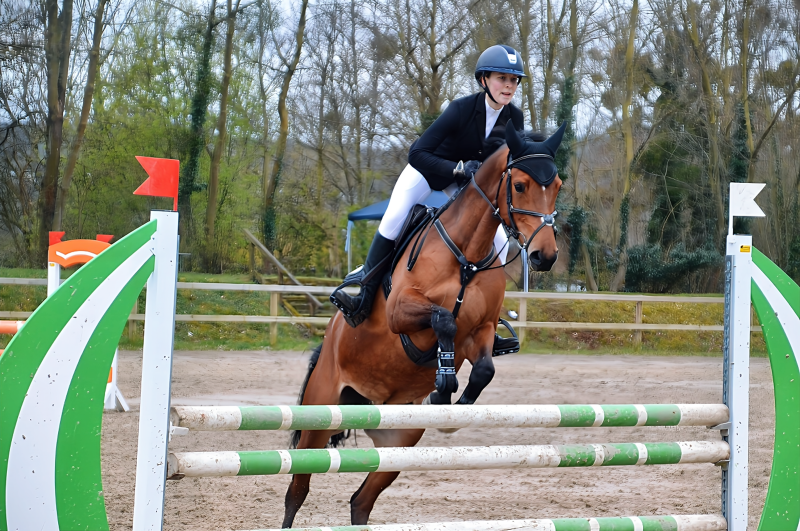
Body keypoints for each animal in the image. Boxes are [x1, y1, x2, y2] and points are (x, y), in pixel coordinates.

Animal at [282, 121, 564, 528]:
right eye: (521, 185)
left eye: (557, 185)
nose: (545, 256)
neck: (467, 256)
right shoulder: (402, 311)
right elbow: (443, 320)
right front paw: (443, 386)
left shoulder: (480, 331)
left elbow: (484, 368)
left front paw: (451, 407)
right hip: (320, 415)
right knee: (297, 490)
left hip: (398, 441)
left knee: (360, 501)